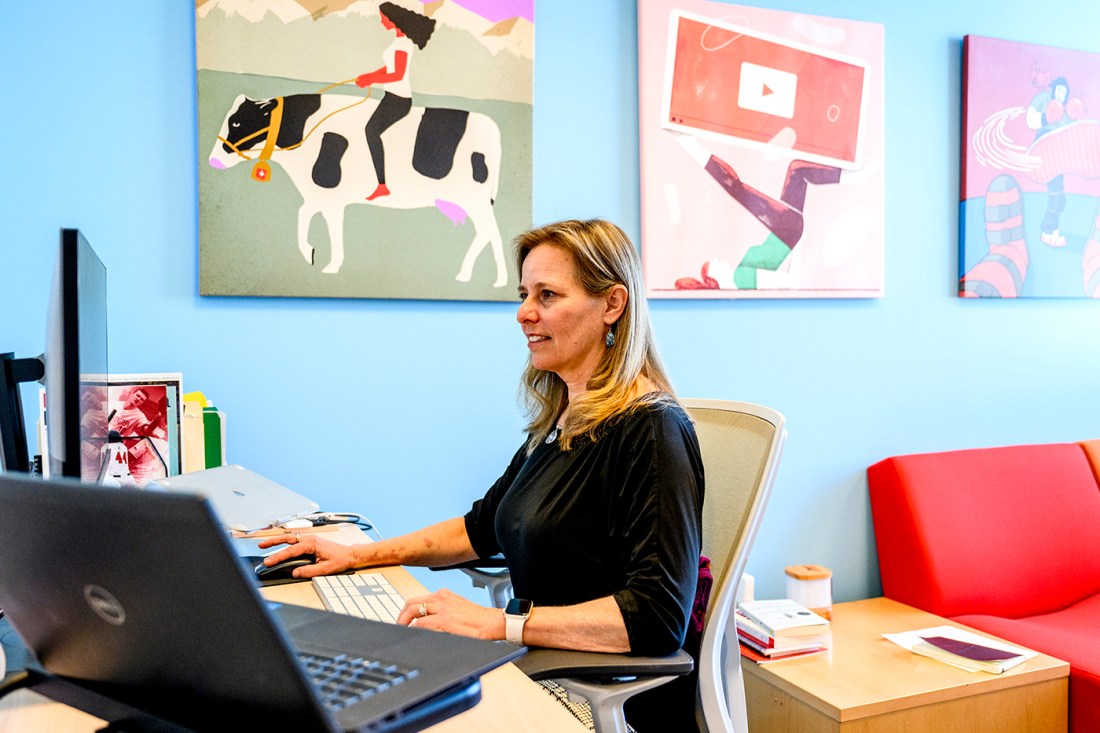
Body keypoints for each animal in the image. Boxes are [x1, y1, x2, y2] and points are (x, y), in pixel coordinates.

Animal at [206, 91, 506, 286]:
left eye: (236, 122)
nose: (212, 159)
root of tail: (493, 128)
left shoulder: (330, 195)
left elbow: (331, 229)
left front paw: (330, 265)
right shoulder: (319, 194)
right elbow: (304, 217)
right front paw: (310, 253)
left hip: (476, 200)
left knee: (493, 232)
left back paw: (498, 279)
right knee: (485, 233)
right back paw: (465, 275)